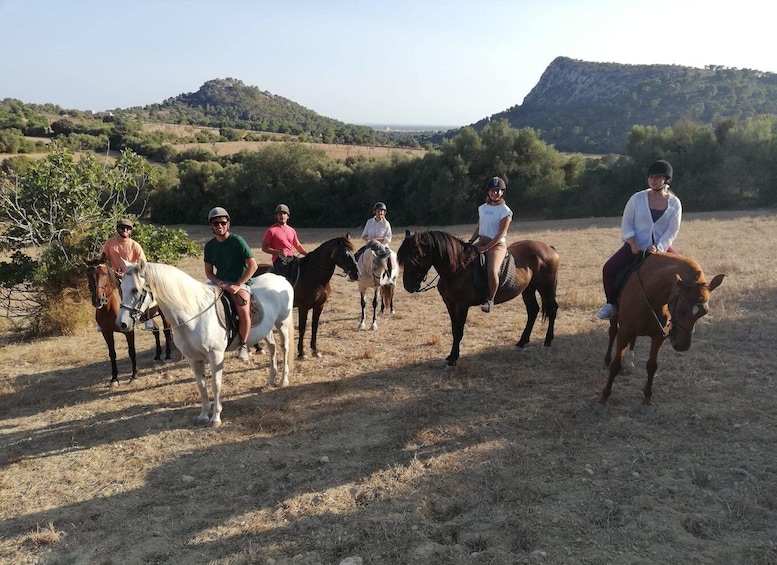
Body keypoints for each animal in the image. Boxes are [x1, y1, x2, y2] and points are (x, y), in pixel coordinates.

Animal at [86, 256, 174, 386]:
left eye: (105, 273)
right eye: (88, 274)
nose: (98, 300)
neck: (110, 308)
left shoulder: (128, 331)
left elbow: (131, 352)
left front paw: (134, 376)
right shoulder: (106, 332)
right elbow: (112, 353)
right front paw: (114, 379)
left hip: (164, 313)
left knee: (166, 331)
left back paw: (167, 355)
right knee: (156, 330)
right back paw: (157, 355)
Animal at [115, 260, 294, 428]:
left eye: (135, 290)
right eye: (121, 288)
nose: (121, 324)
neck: (193, 316)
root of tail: (281, 279)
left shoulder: (216, 356)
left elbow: (216, 385)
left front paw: (215, 418)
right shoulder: (193, 359)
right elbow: (201, 386)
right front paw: (203, 416)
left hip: (282, 324)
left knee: (284, 349)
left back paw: (283, 381)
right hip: (266, 329)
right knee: (272, 348)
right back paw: (271, 380)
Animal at [400, 229, 556, 370]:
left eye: (417, 255)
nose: (408, 286)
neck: (457, 268)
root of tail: (549, 248)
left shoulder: (461, 306)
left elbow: (458, 331)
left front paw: (453, 360)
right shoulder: (450, 304)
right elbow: (454, 329)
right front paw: (450, 357)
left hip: (546, 288)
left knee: (552, 309)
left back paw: (548, 340)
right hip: (528, 289)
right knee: (533, 310)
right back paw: (522, 342)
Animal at [596, 253, 724, 412]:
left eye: (703, 312)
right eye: (681, 309)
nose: (682, 346)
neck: (650, 296)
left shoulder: (658, 337)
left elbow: (652, 366)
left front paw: (647, 398)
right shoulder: (624, 333)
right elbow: (615, 365)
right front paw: (604, 397)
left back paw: (629, 361)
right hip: (616, 317)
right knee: (612, 332)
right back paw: (607, 359)